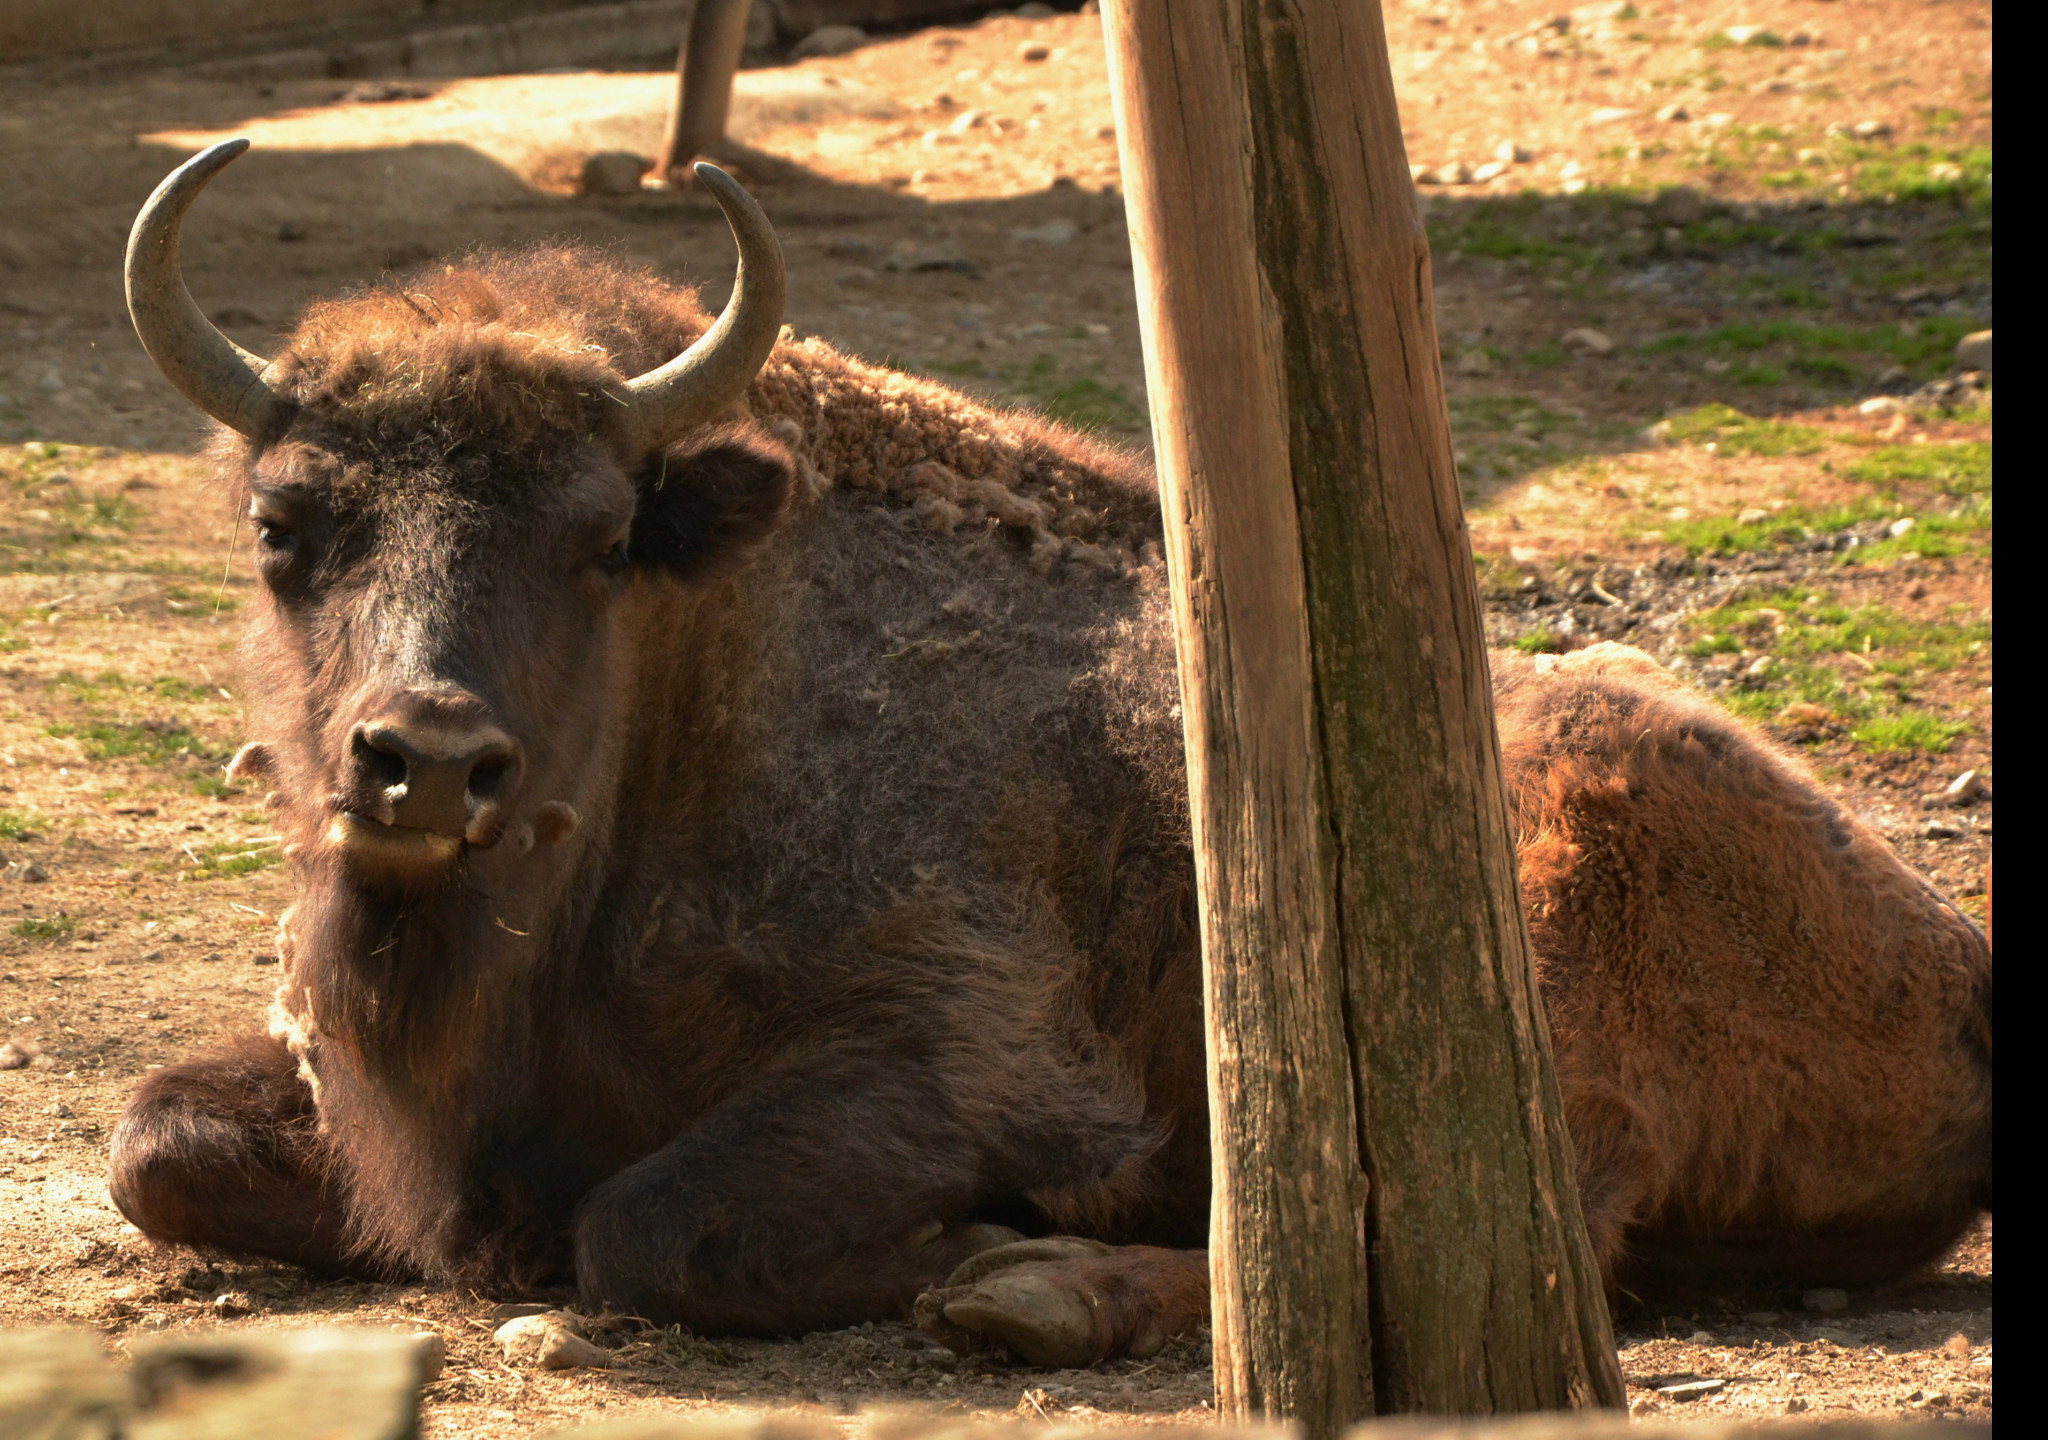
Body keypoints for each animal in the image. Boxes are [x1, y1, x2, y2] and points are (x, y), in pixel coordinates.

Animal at [103, 146, 1990, 1376]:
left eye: (600, 537)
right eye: (285, 524)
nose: (424, 765)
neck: (700, 691)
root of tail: (1949, 958)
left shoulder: (965, 1058)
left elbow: (647, 1221)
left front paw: (963, 1248)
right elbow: (149, 1145)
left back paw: (1026, 1295)